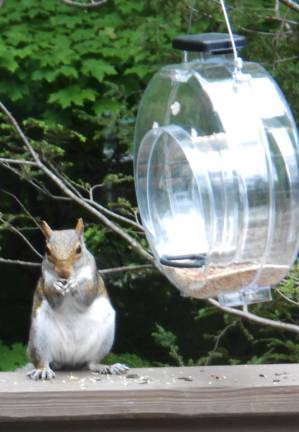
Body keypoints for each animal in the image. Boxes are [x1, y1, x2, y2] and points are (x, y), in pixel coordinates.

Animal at [26, 218, 128, 380]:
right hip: (38, 335)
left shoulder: (91, 278)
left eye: (79, 249)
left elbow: (86, 297)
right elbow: (53, 299)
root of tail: (70, 361)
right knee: (43, 359)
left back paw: (108, 367)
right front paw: (56, 286)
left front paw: (75, 284)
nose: (63, 273)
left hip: (104, 338)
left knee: (92, 363)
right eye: (47, 251)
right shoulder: (45, 278)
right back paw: (43, 369)